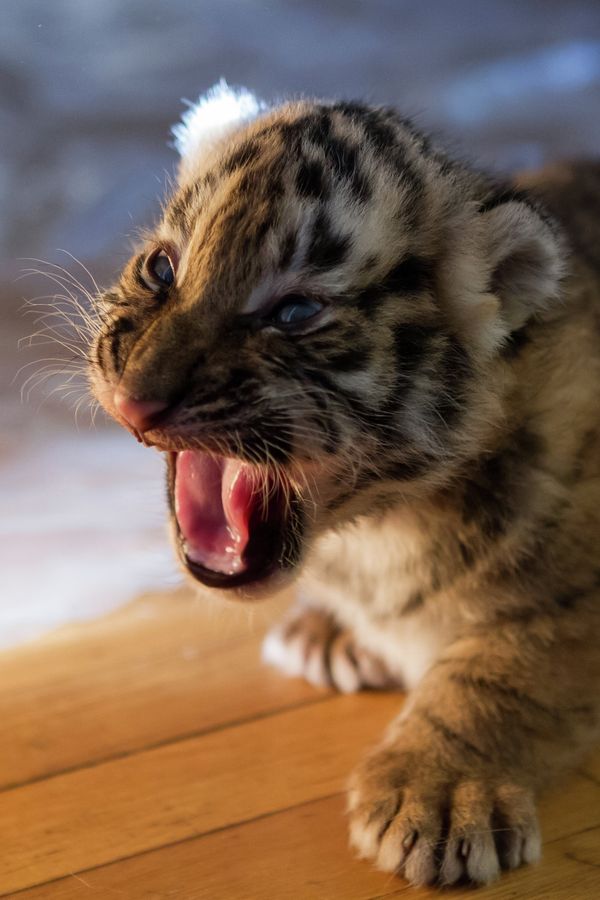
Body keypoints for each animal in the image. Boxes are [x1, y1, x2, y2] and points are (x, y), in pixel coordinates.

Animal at [88, 83, 600, 887]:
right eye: (163, 269)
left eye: (295, 311)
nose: (137, 400)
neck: (387, 523)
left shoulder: (575, 599)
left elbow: (507, 667)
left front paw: (439, 796)